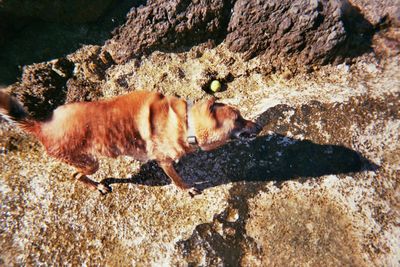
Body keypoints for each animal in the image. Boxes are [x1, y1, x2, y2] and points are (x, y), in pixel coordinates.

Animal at [0, 90, 260, 197]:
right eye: (238, 120)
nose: (258, 127)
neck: (185, 122)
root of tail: (41, 127)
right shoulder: (164, 162)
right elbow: (176, 179)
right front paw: (186, 188)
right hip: (90, 163)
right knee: (76, 175)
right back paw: (97, 187)